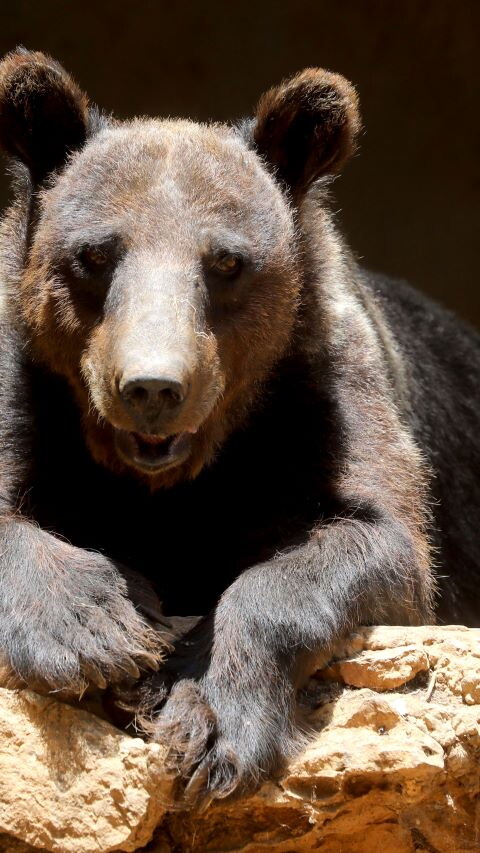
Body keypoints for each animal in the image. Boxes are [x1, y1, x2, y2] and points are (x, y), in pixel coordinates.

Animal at [0, 48, 479, 806]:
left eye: (226, 261)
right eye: (95, 254)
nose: (152, 387)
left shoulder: (325, 388)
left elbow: (376, 541)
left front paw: (204, 717)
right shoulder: (24, 381)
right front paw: (95, 625)